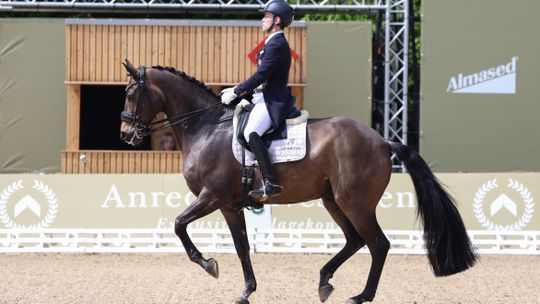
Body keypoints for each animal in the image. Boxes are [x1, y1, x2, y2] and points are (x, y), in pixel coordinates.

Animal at [119, 60, 476, 304]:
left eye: (131, 93)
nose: (126, 135)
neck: (206, 127)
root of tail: (382, 141)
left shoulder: (212, 197)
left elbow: (179, 224)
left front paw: (209, 264)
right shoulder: (230, 206)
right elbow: (242, 247)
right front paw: (246, 291)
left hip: (355, 202)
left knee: (378, 244)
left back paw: (360, 296)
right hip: (333, 200)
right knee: (354, 240)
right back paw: (324, 281)